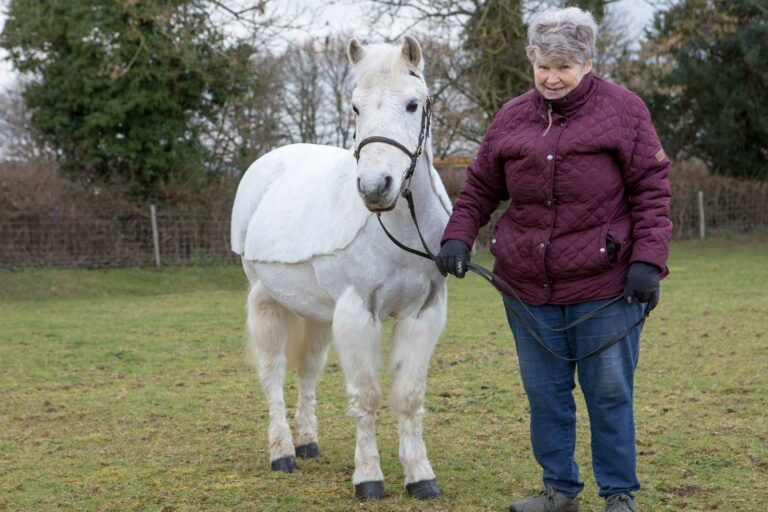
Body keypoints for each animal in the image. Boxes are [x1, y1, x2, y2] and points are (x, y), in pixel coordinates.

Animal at [231, 36, 452, 500]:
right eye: (355, 107)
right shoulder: (355, 314)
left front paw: (421, 477)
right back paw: (282, 453)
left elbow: (408, 397)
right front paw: (368, 478)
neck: (399, 227)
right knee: (273, 374)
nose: (375, 188)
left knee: (308, 372)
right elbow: (366, 397)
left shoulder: (422, 314)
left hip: (315, 314)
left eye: (413, 104)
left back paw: (307, 443)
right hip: (266, 301)